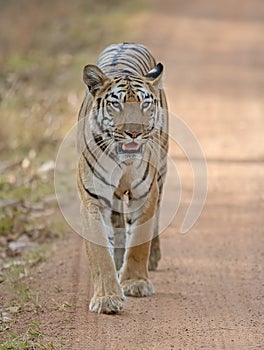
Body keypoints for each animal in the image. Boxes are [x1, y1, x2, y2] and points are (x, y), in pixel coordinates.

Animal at [77, 42, 167, 314]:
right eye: (116, 104)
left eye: (144, 104)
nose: (134, 133)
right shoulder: (93, 199)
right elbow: (99, 252)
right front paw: (107, 298)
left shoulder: (146, 193)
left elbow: (138, 241)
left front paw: (136, 283)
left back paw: (152, 258)